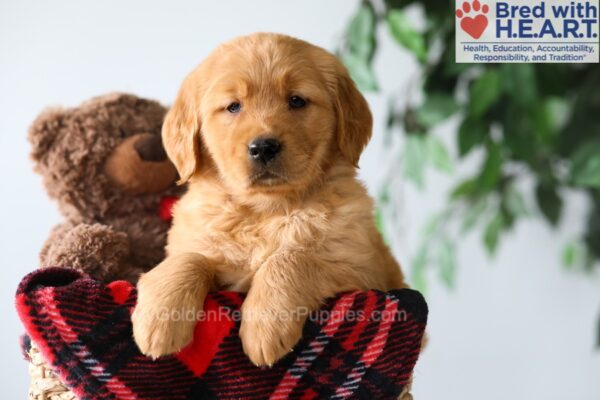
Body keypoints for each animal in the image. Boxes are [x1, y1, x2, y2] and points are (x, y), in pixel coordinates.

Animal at [131, 32, 408, 368]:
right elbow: (188, 258)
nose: (263, 147)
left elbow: (291, 258)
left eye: (296, 100)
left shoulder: (363, 269)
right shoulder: (193, 240)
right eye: (233, 107)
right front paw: (159, 319)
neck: (265, 211)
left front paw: (264, 327)